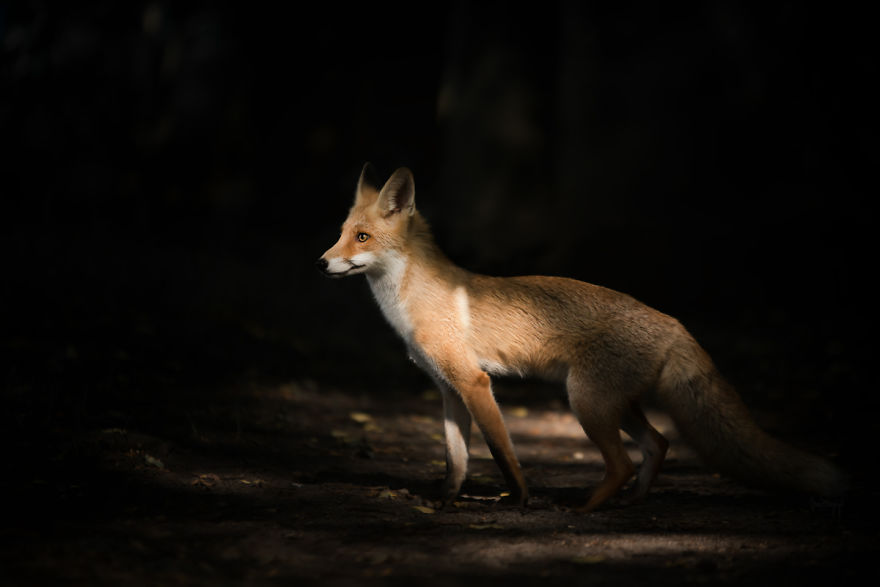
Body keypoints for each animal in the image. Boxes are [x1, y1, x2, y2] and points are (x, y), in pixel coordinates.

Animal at [316, 163, 848, 512]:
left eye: (362, 238)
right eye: (340, 233)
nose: (321, 262)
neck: (411, 300)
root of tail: (674, 322)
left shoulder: (474, 383)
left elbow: (502, 452)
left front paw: (521, 498)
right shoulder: (448, 390)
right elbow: (456, 459)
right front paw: (445, 501)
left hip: (586, 403)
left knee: (625, 461)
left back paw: (587, 508)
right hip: (613, 405)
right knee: (658, 444)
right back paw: (634, 502)